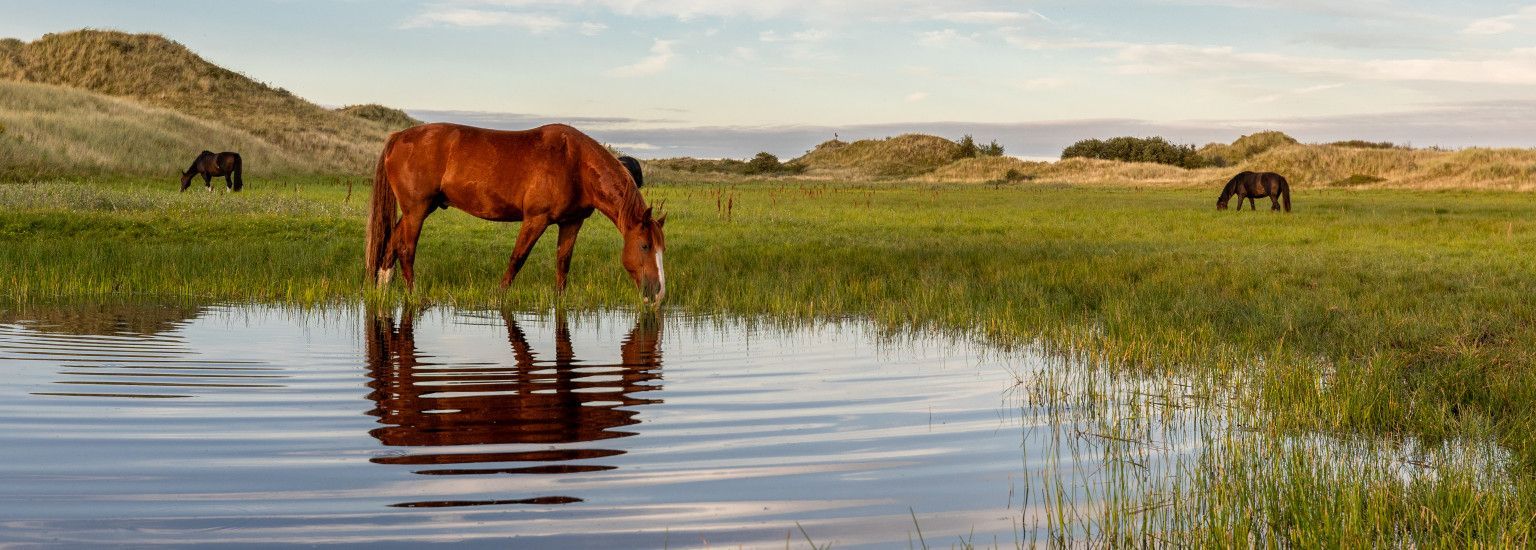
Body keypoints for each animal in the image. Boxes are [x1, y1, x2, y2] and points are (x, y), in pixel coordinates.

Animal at [368, 122, 669, 302]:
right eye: (644, 246)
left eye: (661, 249)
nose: (658, 293)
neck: (575, 163)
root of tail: (398, 137)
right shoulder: (535, 219)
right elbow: (517, 258)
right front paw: (499, 295)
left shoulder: (571, 223)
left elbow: (563, 263)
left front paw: (560, 300)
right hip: (416, 211)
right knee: (406, 249)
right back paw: (413, 295)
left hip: (418, 210)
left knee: (391, 243)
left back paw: (382, 289)